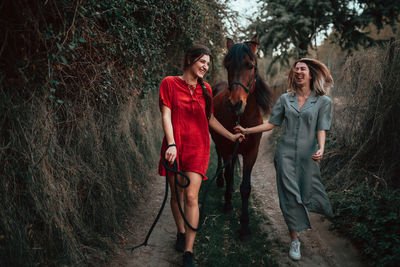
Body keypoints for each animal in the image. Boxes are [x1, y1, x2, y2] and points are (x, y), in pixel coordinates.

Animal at [209, 35, 276, 241]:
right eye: (228, 65)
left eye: (250, 65)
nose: (235, 103)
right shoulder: (228, 147)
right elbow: (230, 174)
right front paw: (228, 205)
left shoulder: (251, 153)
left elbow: (246, 188)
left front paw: (245, 226)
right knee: (222, 161)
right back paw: (221, 182)